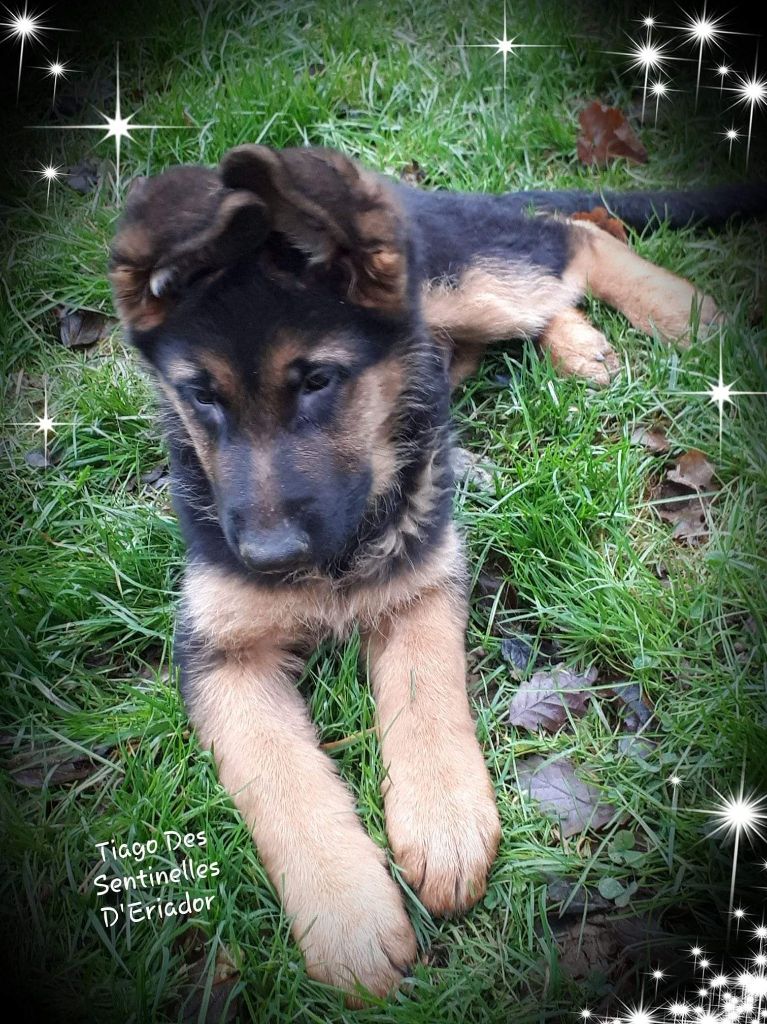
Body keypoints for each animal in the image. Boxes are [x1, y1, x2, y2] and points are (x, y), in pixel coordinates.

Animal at [110, 148, 761, 1003]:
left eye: (318, 381)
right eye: (200, 396)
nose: (270, 559)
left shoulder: (422, 579)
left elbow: (423, 693)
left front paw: (443, 824)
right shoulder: (221, 655)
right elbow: (278, 777)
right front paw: (348, 916)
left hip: (462, 284)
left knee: (572, 236)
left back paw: (684, 312)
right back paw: (581, 346)